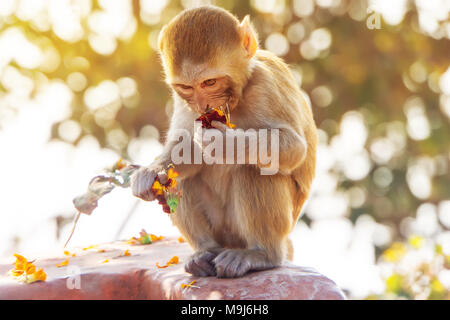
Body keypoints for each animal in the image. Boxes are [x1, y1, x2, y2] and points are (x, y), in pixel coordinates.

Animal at [132, 6, 318, 278]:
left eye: (210, 82)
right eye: (186, 87)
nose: (202, 105)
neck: (239, 95)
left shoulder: (266, 85)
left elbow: (294, 147)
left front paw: (227, 145)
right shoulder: (184, 101)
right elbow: (185, 147)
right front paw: (151, 171)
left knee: (255, 169)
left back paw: (262, 254)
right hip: (222, 230)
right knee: (178, 178)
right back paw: (204, 252)